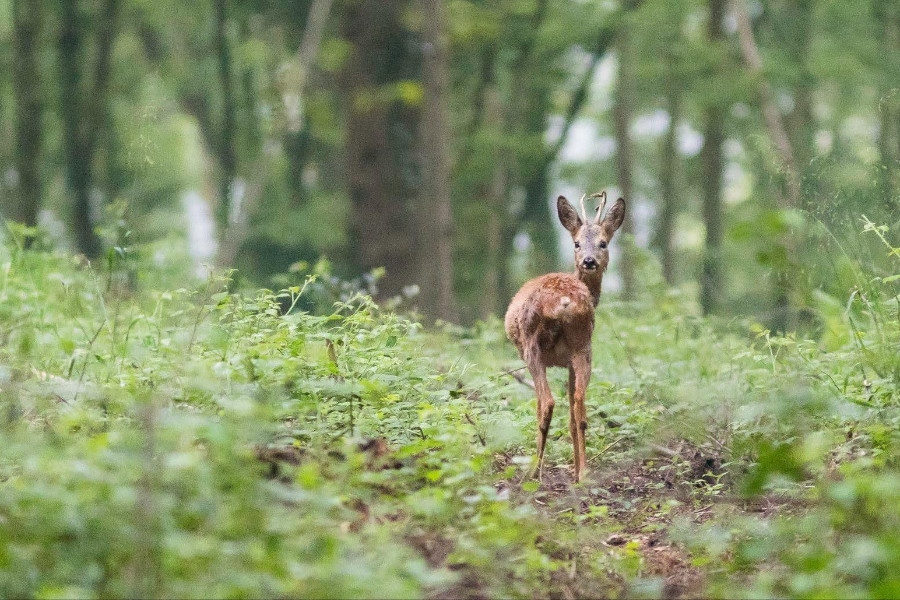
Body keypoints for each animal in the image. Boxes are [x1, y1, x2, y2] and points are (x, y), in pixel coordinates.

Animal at [506, 192, 624, 482]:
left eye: (603, 243)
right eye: (577, 243)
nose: (589, 261)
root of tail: (563, 302)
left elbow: (542, 406)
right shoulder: (571, 362)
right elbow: (572, 415)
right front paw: (576, 468)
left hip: (532, 348)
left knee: (547, 403)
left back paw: (534, 472)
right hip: (584, 346)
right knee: (580, 406)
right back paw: (583, 473)